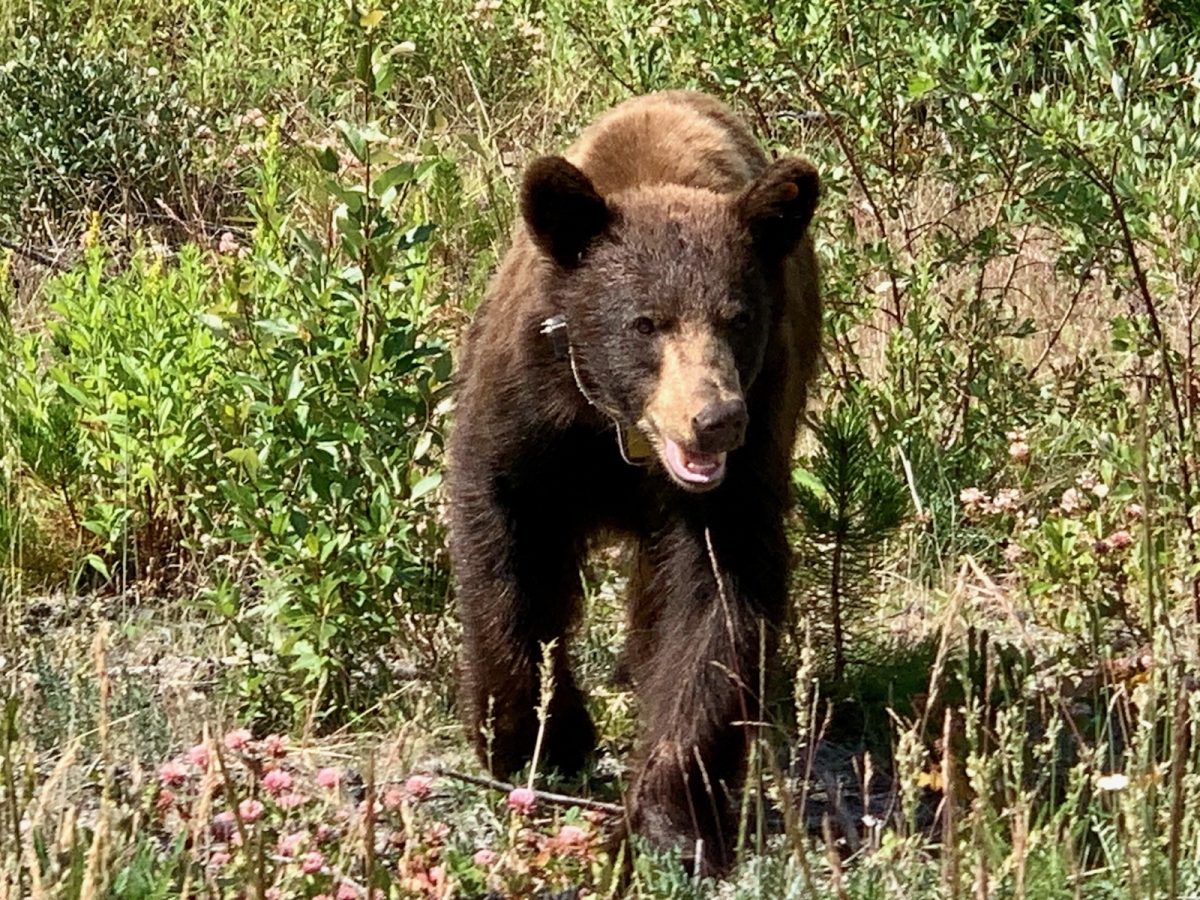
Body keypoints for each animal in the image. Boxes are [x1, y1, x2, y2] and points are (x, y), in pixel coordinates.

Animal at [446, 90, 820, 873]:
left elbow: (716, 608)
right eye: (647, 321)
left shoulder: (744, 465)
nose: (715, 420)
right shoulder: (530, 406)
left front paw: (671, 820)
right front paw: (528, 736)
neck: (620, 430)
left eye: (737, 318)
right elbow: (504, 550)